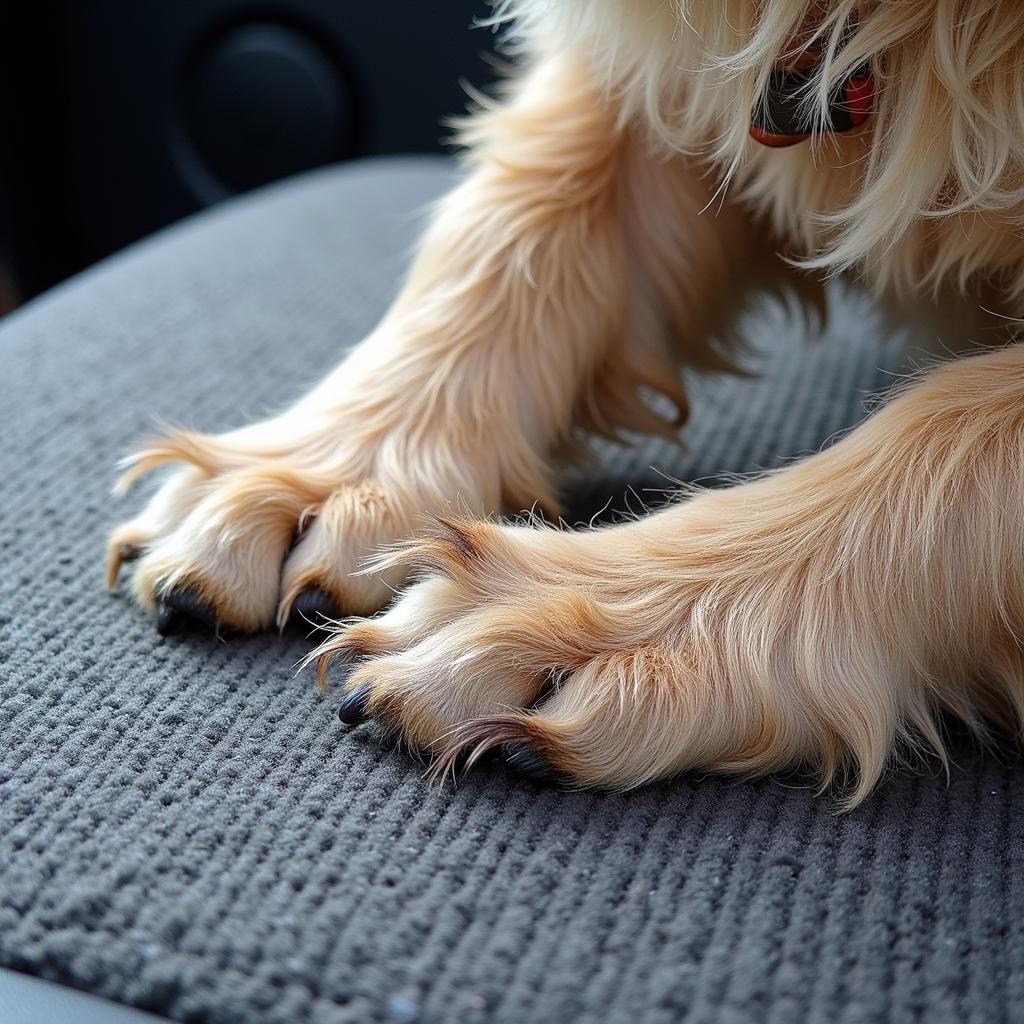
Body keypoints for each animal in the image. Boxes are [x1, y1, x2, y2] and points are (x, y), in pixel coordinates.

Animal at [105, 0, 1024, 802]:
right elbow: (524, 214)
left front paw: (590, 622)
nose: (329, 478)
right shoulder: (677, 80)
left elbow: (958, 430)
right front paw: (330, 475)